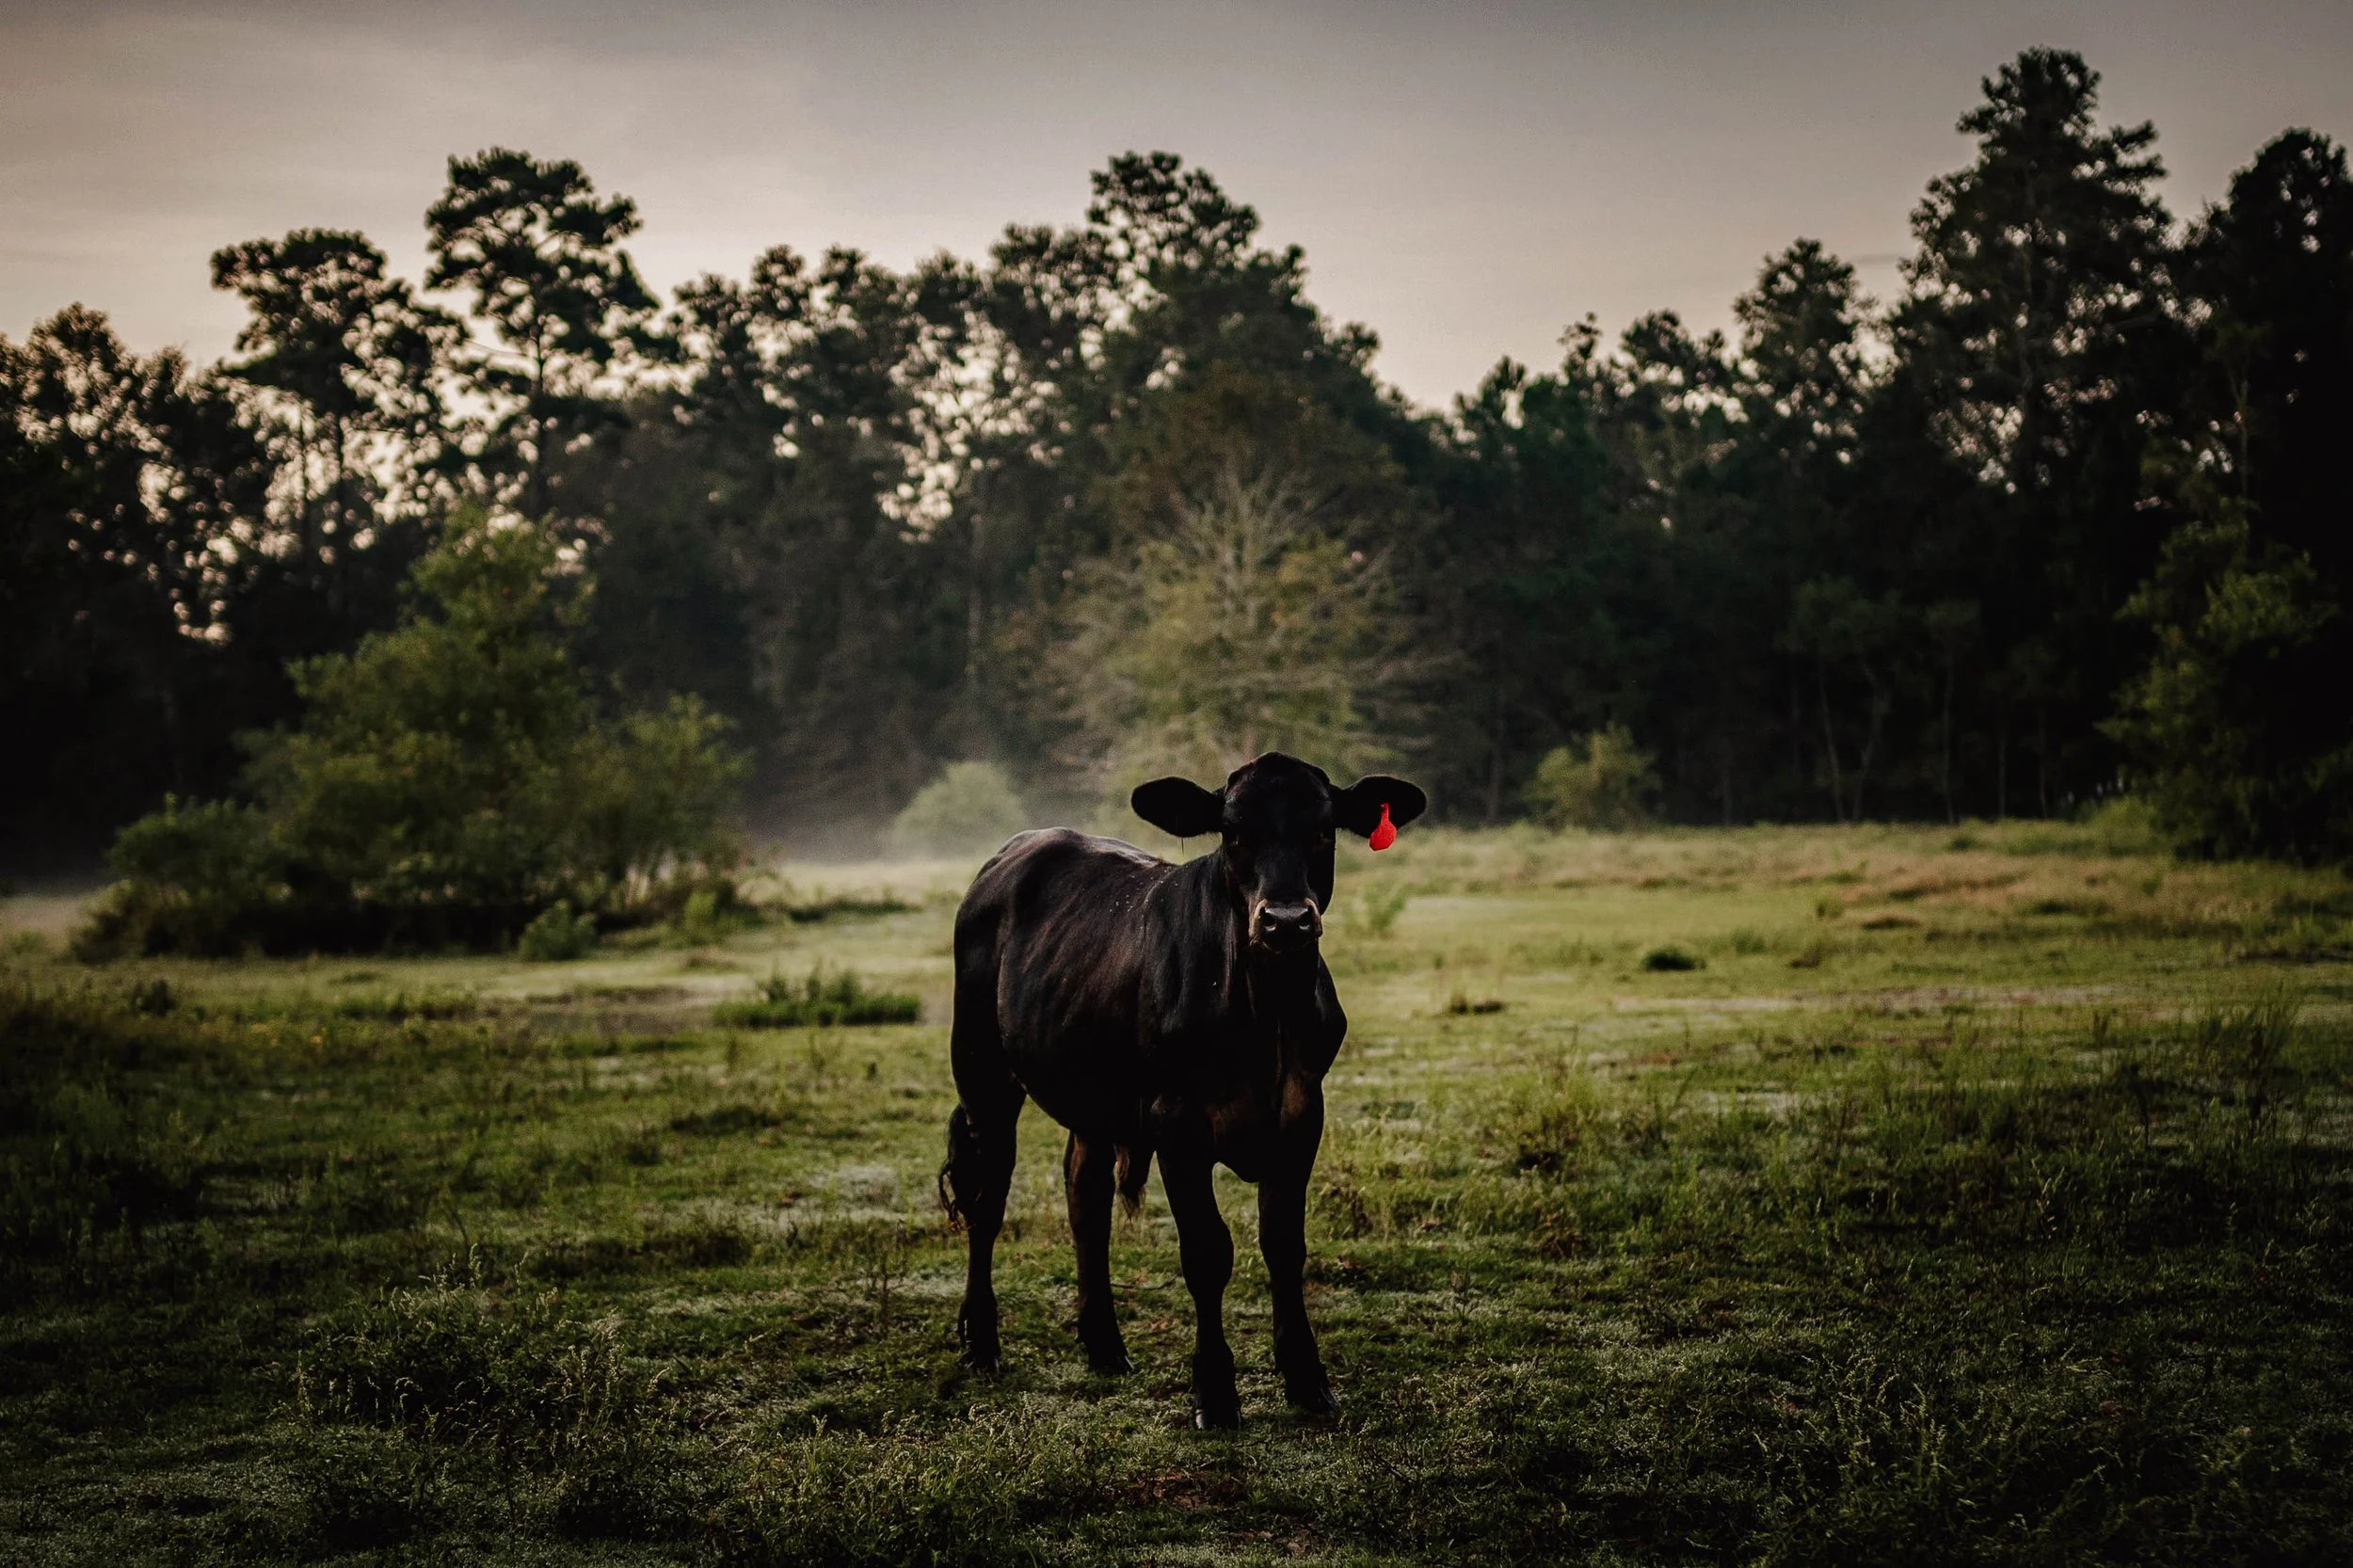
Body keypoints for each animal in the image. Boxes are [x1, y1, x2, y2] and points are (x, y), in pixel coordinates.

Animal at [938, 751, 1426, 1427]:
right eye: (1233, 832)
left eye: (1324, 830)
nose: (1286, 921)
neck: (1265, 1017)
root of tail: (1016, 851)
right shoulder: (1177, 1124)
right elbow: (1207, 1252)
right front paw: (1215, 1393)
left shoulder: (1303, 1116)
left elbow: (1284, 1244)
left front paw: (1307, 1380)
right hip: (983, 1070)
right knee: (987, 1199)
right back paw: (983, 1342)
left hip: (1093, 1091)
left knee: (1084, 1194)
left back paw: (1104, 1344)